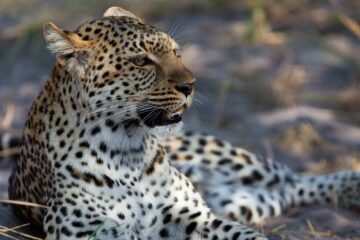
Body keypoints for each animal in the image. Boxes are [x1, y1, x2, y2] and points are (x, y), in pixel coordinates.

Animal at [2, 5, 358, 240]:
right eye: (142, 61)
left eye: (177, 53)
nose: (191, 85)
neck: (125, 152)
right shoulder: (91, 233)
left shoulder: (194, 218)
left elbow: (249, 236)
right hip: (244, 200)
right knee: (283, 191)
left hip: (237, 162)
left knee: (290, 176)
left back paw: (351, 185)